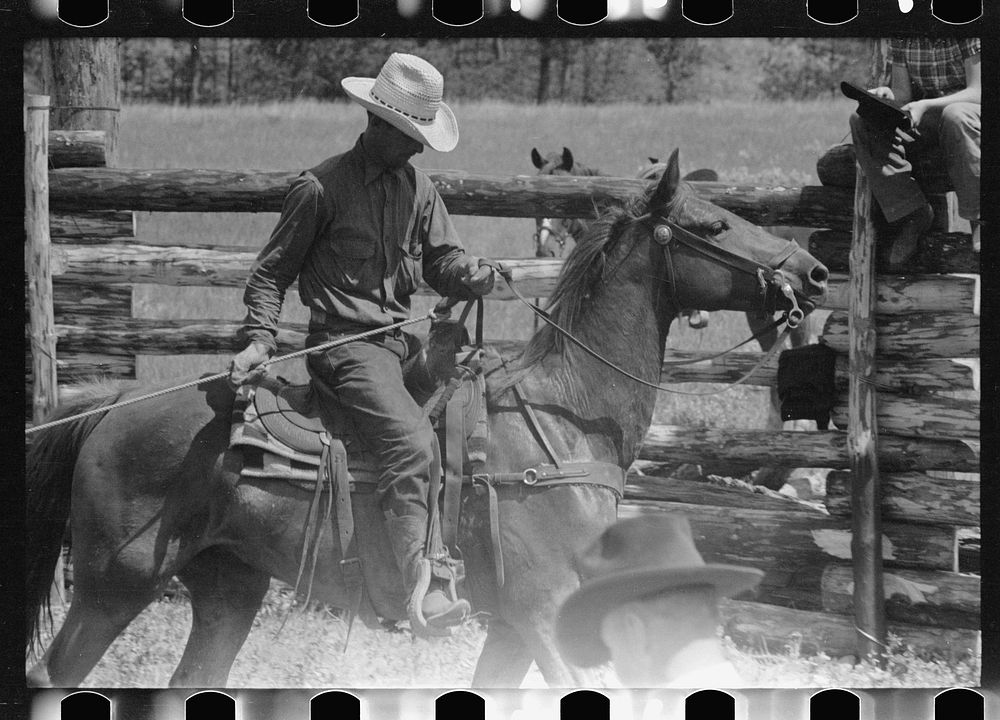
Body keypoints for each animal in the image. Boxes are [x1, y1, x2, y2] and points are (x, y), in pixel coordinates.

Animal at [29, 149, 828, 688]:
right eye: (713, 223)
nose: (814, 272)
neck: (564, 422)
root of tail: (110, 408)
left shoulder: (511, 625)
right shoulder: (545, 610)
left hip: (230, 587)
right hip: (113, 584)